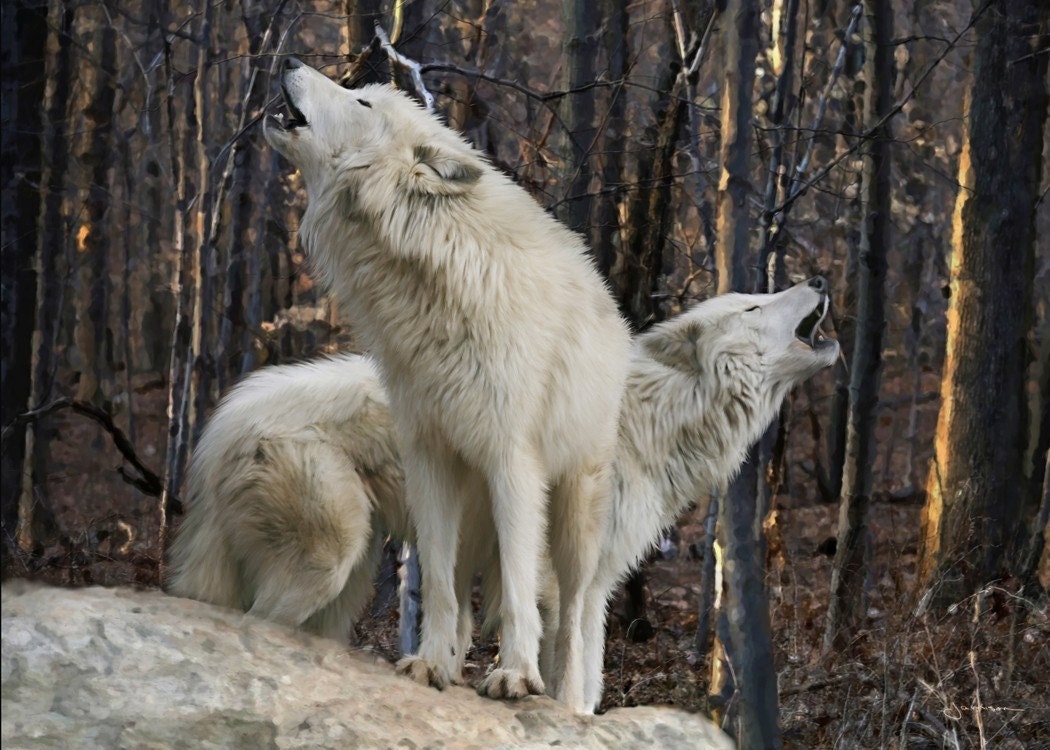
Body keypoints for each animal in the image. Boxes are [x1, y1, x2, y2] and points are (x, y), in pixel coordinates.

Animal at [167, 277, 838, 713]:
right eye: (755, 303)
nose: (820, 278)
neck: (653, 419)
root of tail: (220, 424)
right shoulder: (554, 582)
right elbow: (567, 676)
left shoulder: (594, 588)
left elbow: (586, 686)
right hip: (328, 562)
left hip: (348, 582)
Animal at [263, 58, 631, 708]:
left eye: (362, 103)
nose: (289, 62)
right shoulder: (429, 457)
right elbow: (434, 583)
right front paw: (430, 665)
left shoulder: (514, 462)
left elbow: (518, 592)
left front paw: (515, 675)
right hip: (471, 499)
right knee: (462, 592)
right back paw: (454, 660)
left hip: (573, 513)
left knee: (576, 614)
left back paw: (568, 701)